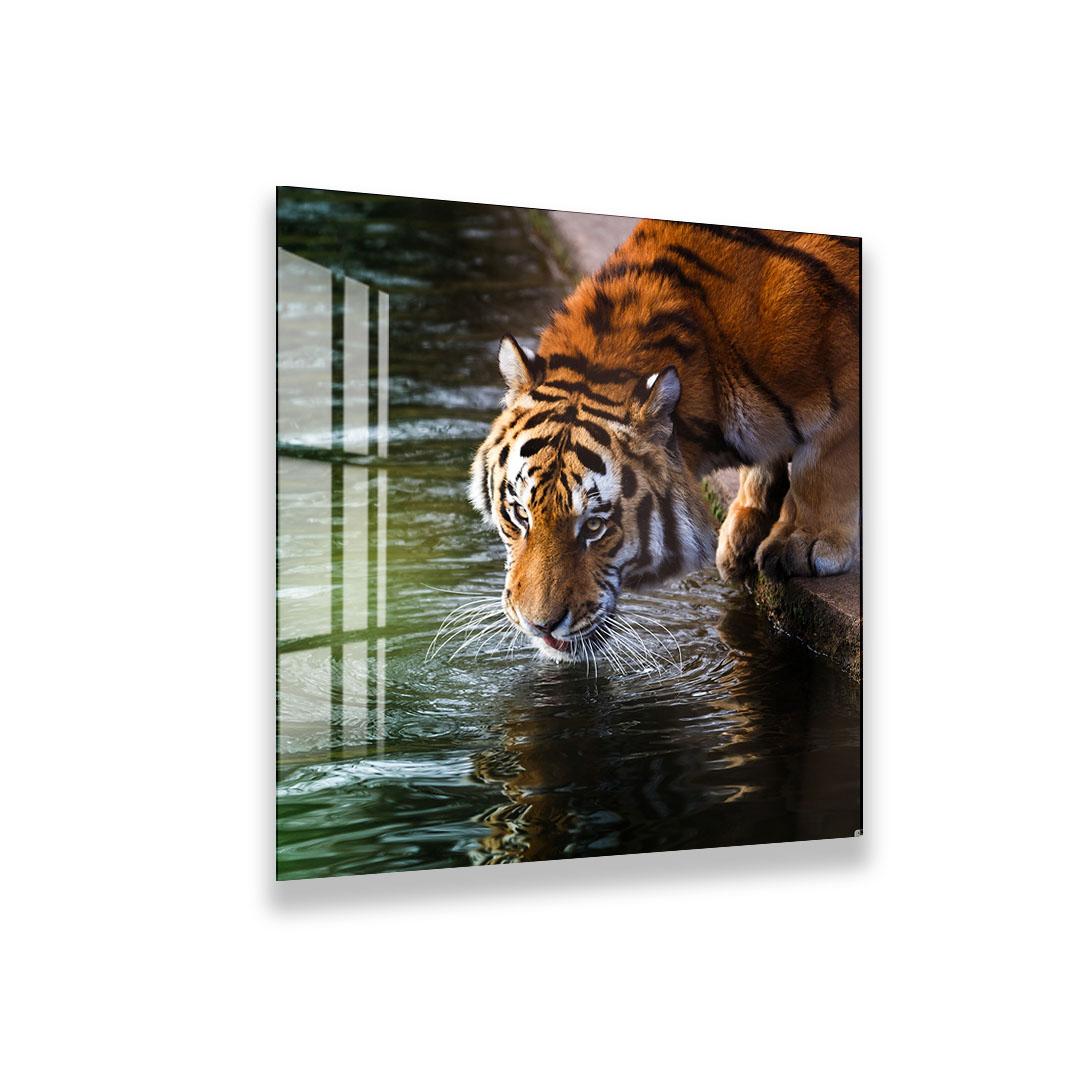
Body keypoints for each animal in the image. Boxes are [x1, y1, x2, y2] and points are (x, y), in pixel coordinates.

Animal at [469, 218, 860, 661]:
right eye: (520, 515)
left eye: (595, 526)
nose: (539, 626)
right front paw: (743, 531)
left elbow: (824, 462)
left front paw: (805, 542)